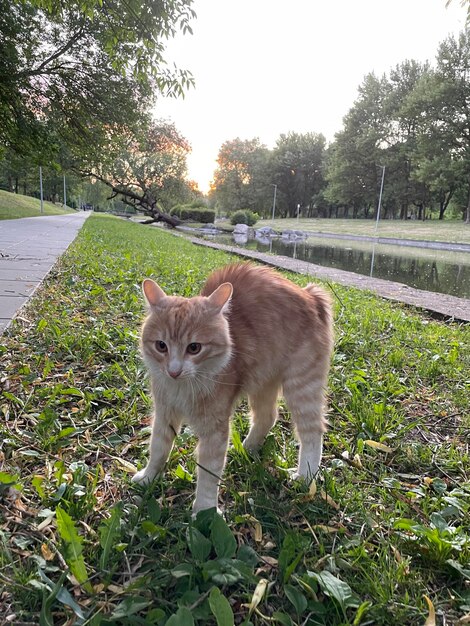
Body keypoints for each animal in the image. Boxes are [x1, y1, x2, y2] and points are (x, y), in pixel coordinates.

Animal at [133, 260, 334, 510]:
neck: (183, 388)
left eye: (194, 348)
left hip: (302, 387)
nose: (174, 371)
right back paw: (247, 448)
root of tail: (310, 294)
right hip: (262, 383)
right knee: (267, 417)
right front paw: (149, 477)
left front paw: (204, 509)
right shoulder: (164, 413)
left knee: (313, 431)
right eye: (161, 346)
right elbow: (158, 449)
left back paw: (305, 477)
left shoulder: (214, 429)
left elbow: (208, 474)